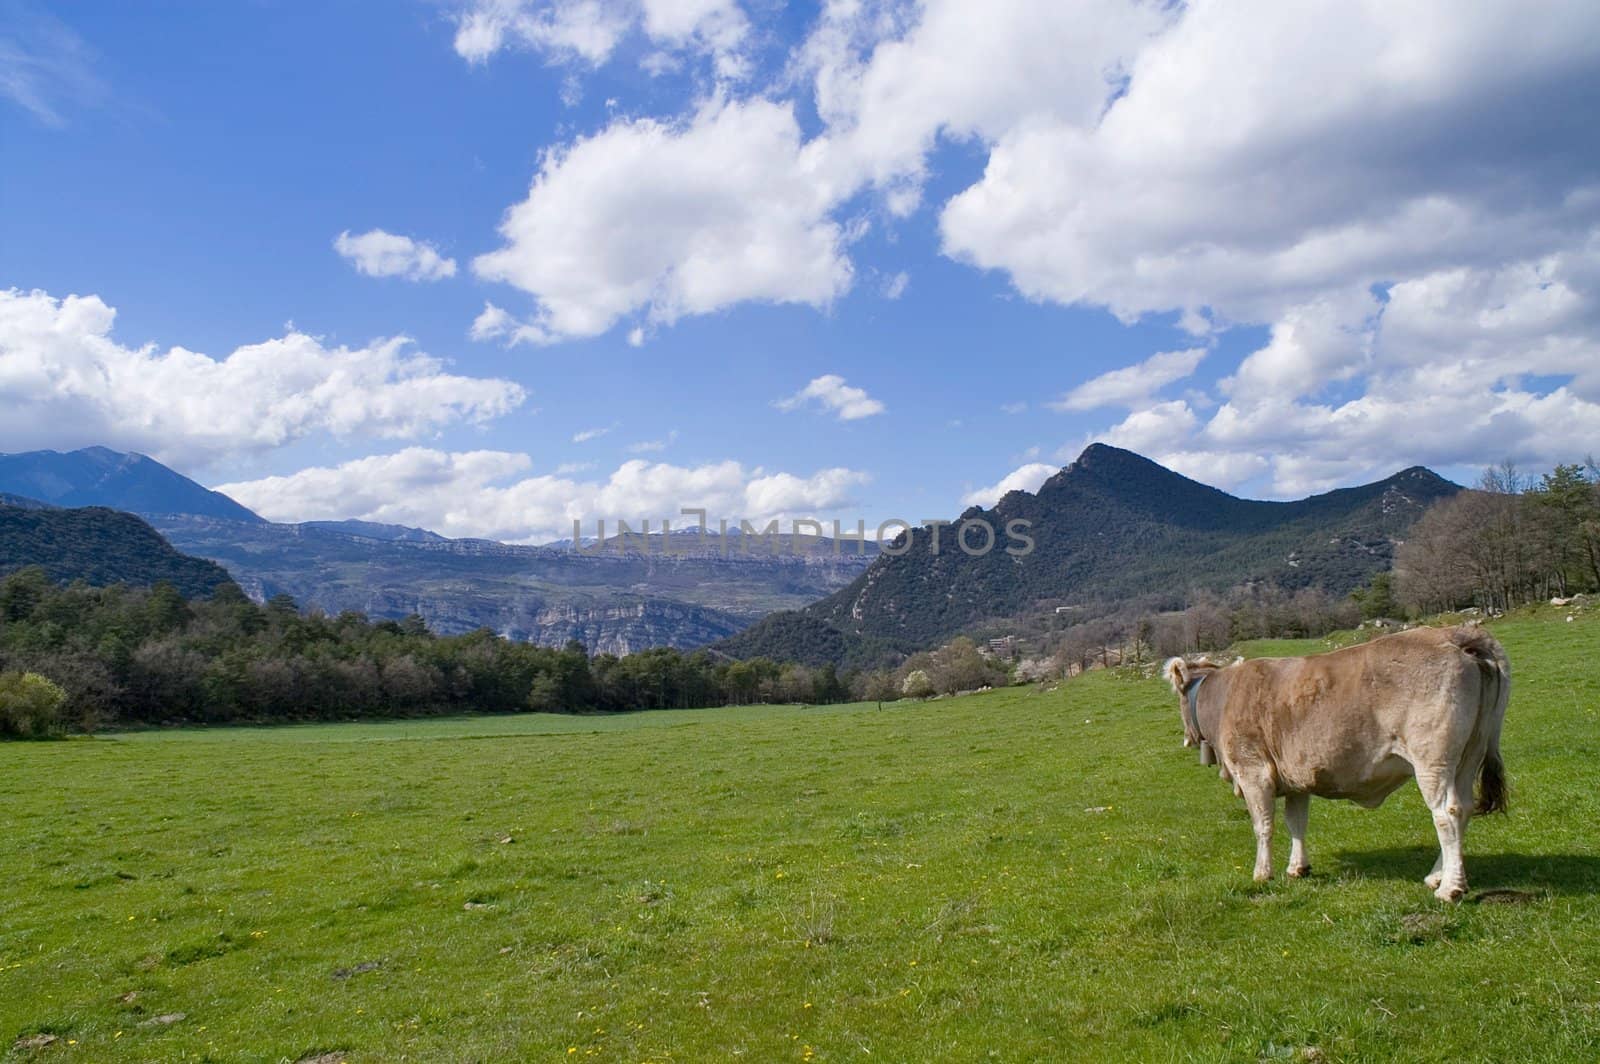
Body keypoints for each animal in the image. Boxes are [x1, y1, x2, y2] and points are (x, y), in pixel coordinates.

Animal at [1164, 627, 1510, 902]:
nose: (1185, 737)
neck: (1222, 698)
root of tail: (1456, 634)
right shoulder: (1294, 777)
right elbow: (1296, 822)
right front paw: (1298, 867)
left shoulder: (1253, 773)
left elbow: (1263, 825)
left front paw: (1262, 873)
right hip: (1470, 753)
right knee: (1463, 809)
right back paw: (1438, 876)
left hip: (1433, 759)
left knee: (1445, 814)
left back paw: (1450, 888)